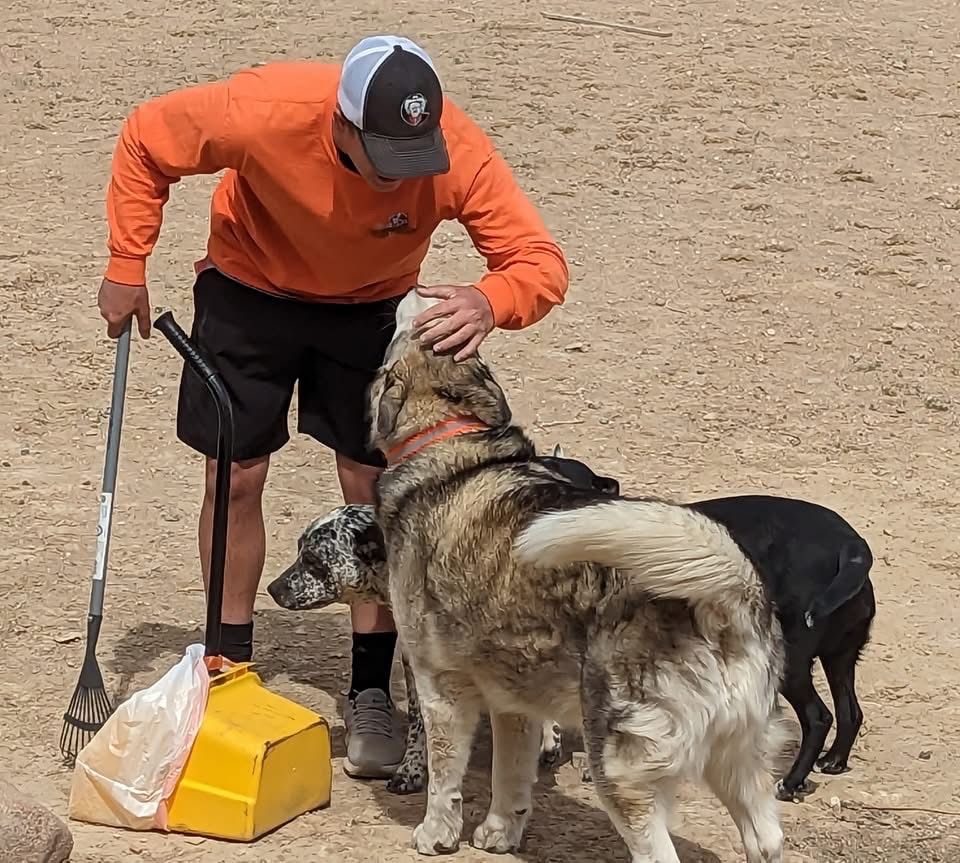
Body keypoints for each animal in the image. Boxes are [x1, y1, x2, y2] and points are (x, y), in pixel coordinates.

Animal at [368, 292, 788, 863]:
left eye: (414, 324)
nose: (428, 290)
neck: (451, 445)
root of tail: (721, 603)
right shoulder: (514, 705)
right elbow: (510, 781)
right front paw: (500, 834)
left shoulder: (441, 691)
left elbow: (444, 779)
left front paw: (436, 835)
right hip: (737, 762)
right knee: (766, 839)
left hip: (621, 771)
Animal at [544, 448, 872, 800]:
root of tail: (850, 544)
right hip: (839, 658)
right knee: (850, 712)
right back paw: (834, 761)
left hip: (792, 665)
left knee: (819, 717)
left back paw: (792, 781)